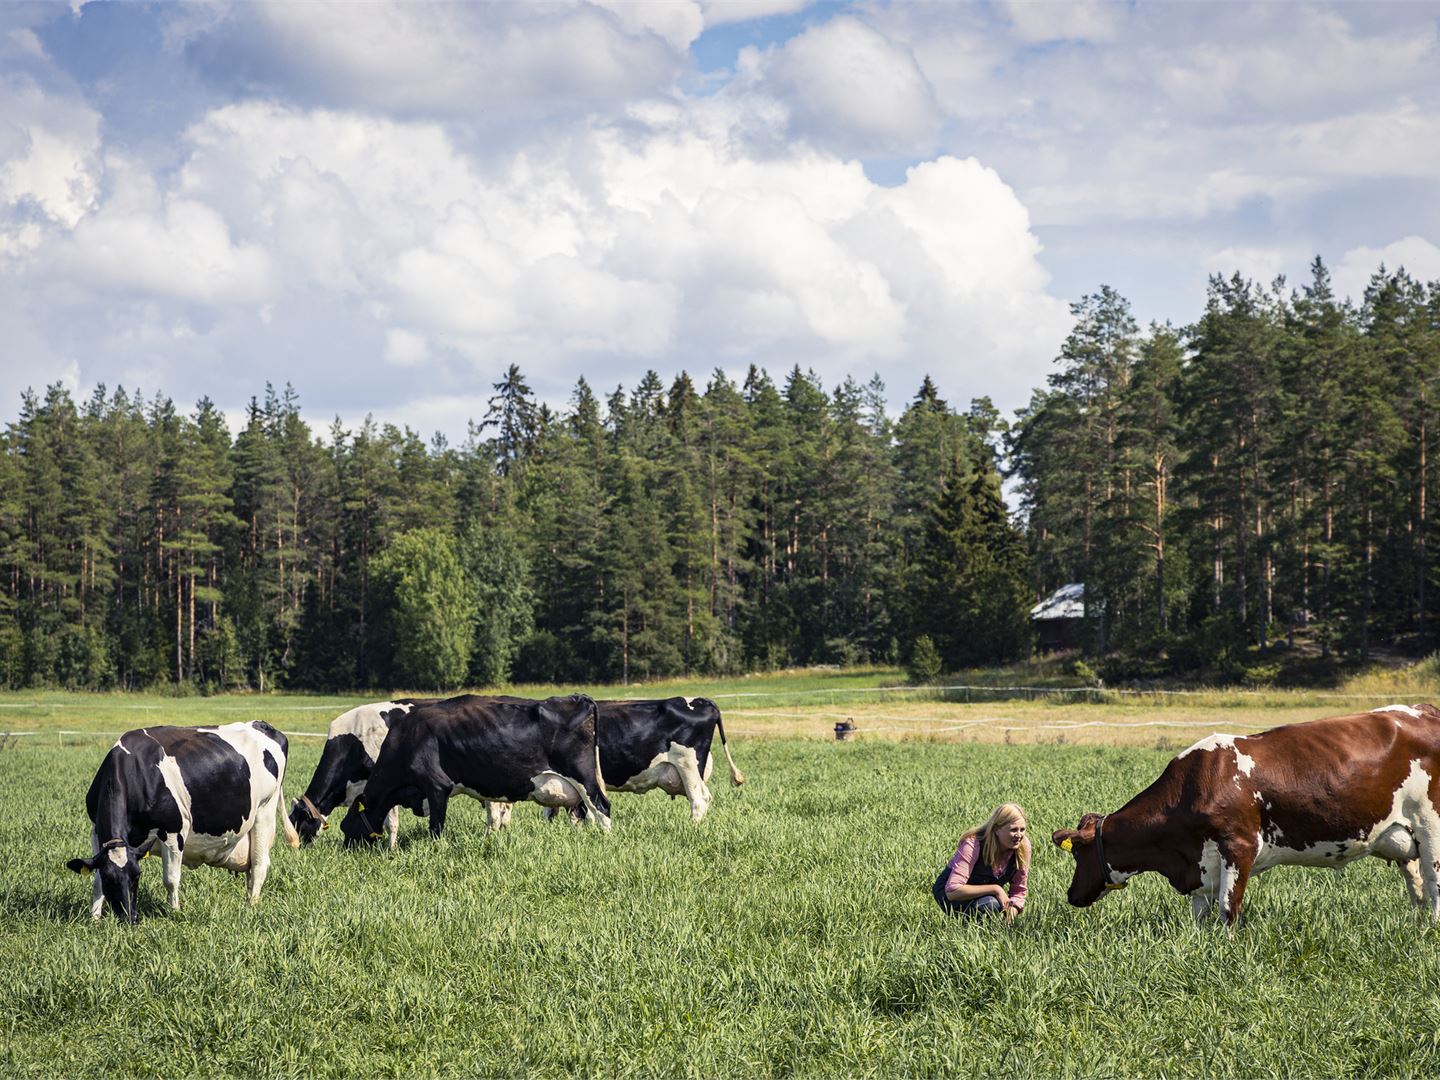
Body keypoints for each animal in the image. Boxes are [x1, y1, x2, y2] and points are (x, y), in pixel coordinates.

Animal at [66, 722, 299, 927]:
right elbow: (96, 880)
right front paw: (94, 918)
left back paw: (251, 906)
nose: (130, 918)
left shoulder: (173, 830)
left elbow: (170, 879)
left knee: (259, 866)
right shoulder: (96, 831)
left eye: (137, 875)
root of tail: (262, 725)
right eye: (110, 879)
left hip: (264, 811)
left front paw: (175, 912)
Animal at [341, 696, 607, 852]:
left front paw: (436, 851)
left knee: (602, 809)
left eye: (345, 826)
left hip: (584, 778)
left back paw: (605, 840)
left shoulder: (437, 786)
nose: (345, 851)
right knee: (583, 813)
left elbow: (436, 827)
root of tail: (578, 697)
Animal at [1054, 705, 1440, 927]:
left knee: (1434, 882)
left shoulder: (1238, 846)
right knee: (1416, 883)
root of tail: (1422, 709)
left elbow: (1229, 908)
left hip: (1431, 825)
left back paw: (1431, 929)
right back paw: (1416, 923)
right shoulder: (1200, 863)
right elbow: (1200, 914)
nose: (1071, 895)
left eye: (1078, 854)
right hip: (1401, 835)